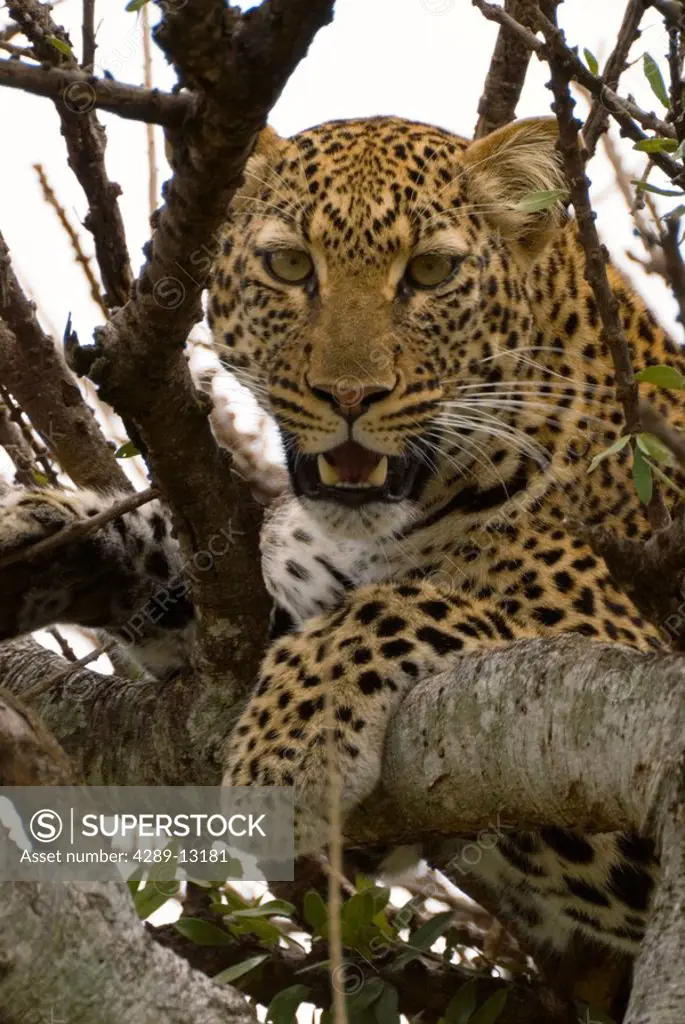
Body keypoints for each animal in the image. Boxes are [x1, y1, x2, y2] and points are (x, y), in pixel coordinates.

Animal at [1, 116, 683, 962]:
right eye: (290, 265)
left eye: (430, 271)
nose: (349, 396)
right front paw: (42, 529)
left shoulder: (613, 689)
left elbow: (403, 604)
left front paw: (287, 746)